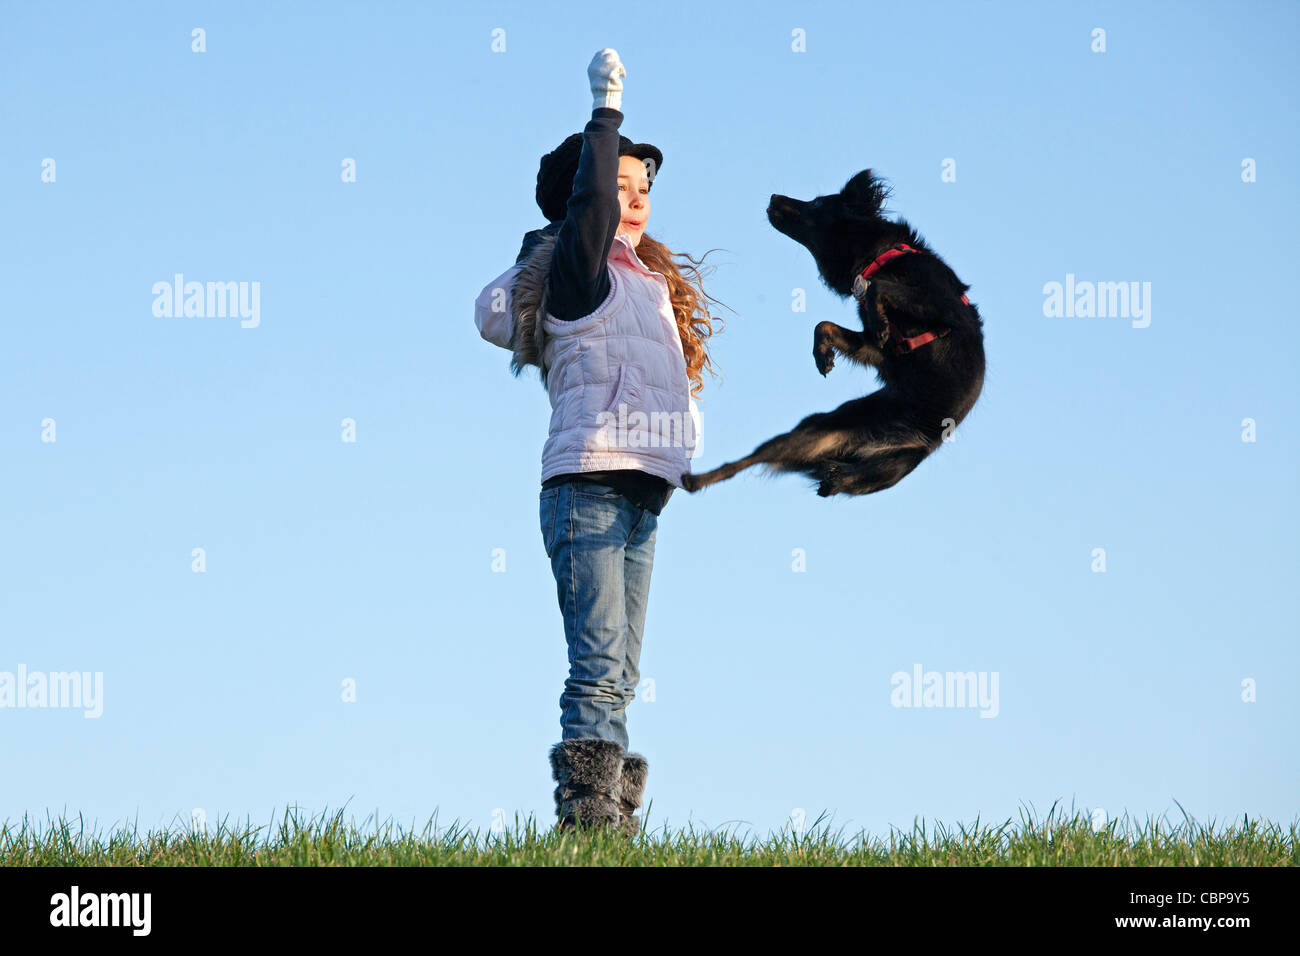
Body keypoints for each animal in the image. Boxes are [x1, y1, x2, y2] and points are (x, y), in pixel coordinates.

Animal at [681, 171, 982, 496]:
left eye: (816, 203)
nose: (774, 196)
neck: (880, 257)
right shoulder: (880, 351)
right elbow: (825, 324)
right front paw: (823, 355)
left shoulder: (945, 308)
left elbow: (877, 287)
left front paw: (874, 322)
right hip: (813, 432)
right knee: (753, 460)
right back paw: (698, 479)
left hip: (894, 465)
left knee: (841, 479)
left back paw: (835, 474)